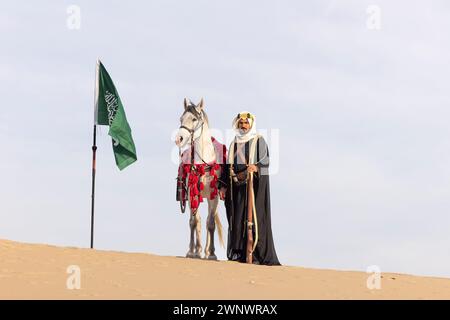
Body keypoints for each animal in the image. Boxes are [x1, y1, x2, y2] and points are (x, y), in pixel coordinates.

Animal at [176, 97, 225, 260]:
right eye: (181, 118)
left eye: (194, 118)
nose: (179, 139)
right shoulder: (193, 194)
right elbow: (194, 222)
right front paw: (192, 251)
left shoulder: (213, 197)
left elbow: (211, 223)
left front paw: (212, 254)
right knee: (198, 221)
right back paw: (198, 250)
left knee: (209, 219)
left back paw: (207, 251)